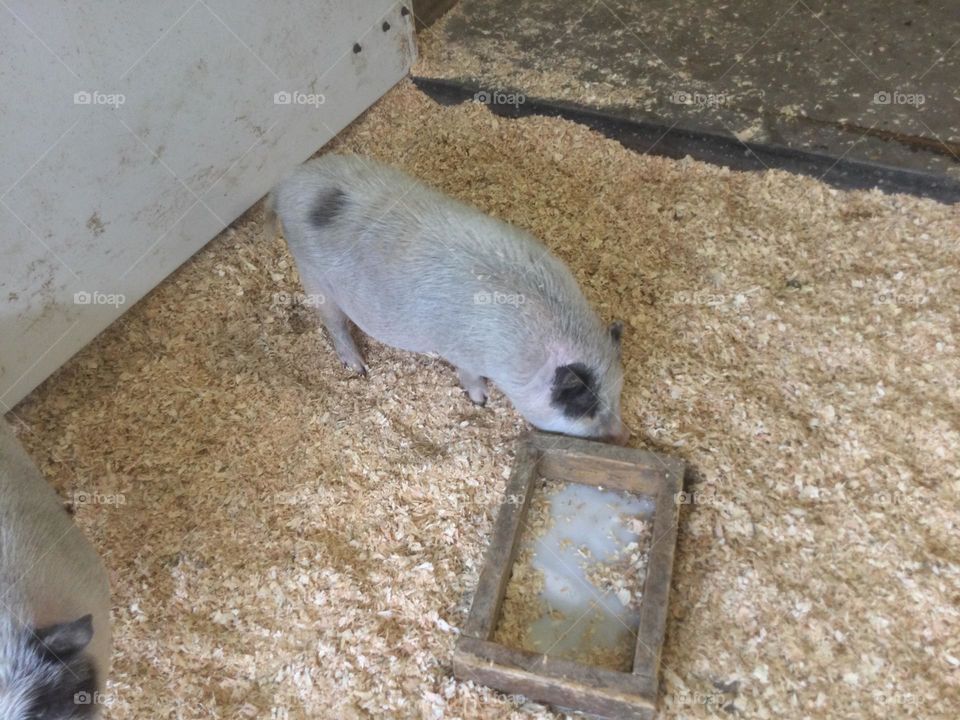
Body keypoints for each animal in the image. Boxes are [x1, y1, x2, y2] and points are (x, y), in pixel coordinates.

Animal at [270, 154, 629, 444]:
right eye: (583, 404)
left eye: (618, 391)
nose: (620, 435)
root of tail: (289, 183)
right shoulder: (464, 353)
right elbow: (469, 377)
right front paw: (481, 401)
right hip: (313, 275)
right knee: (334, 324)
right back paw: (359, 369)